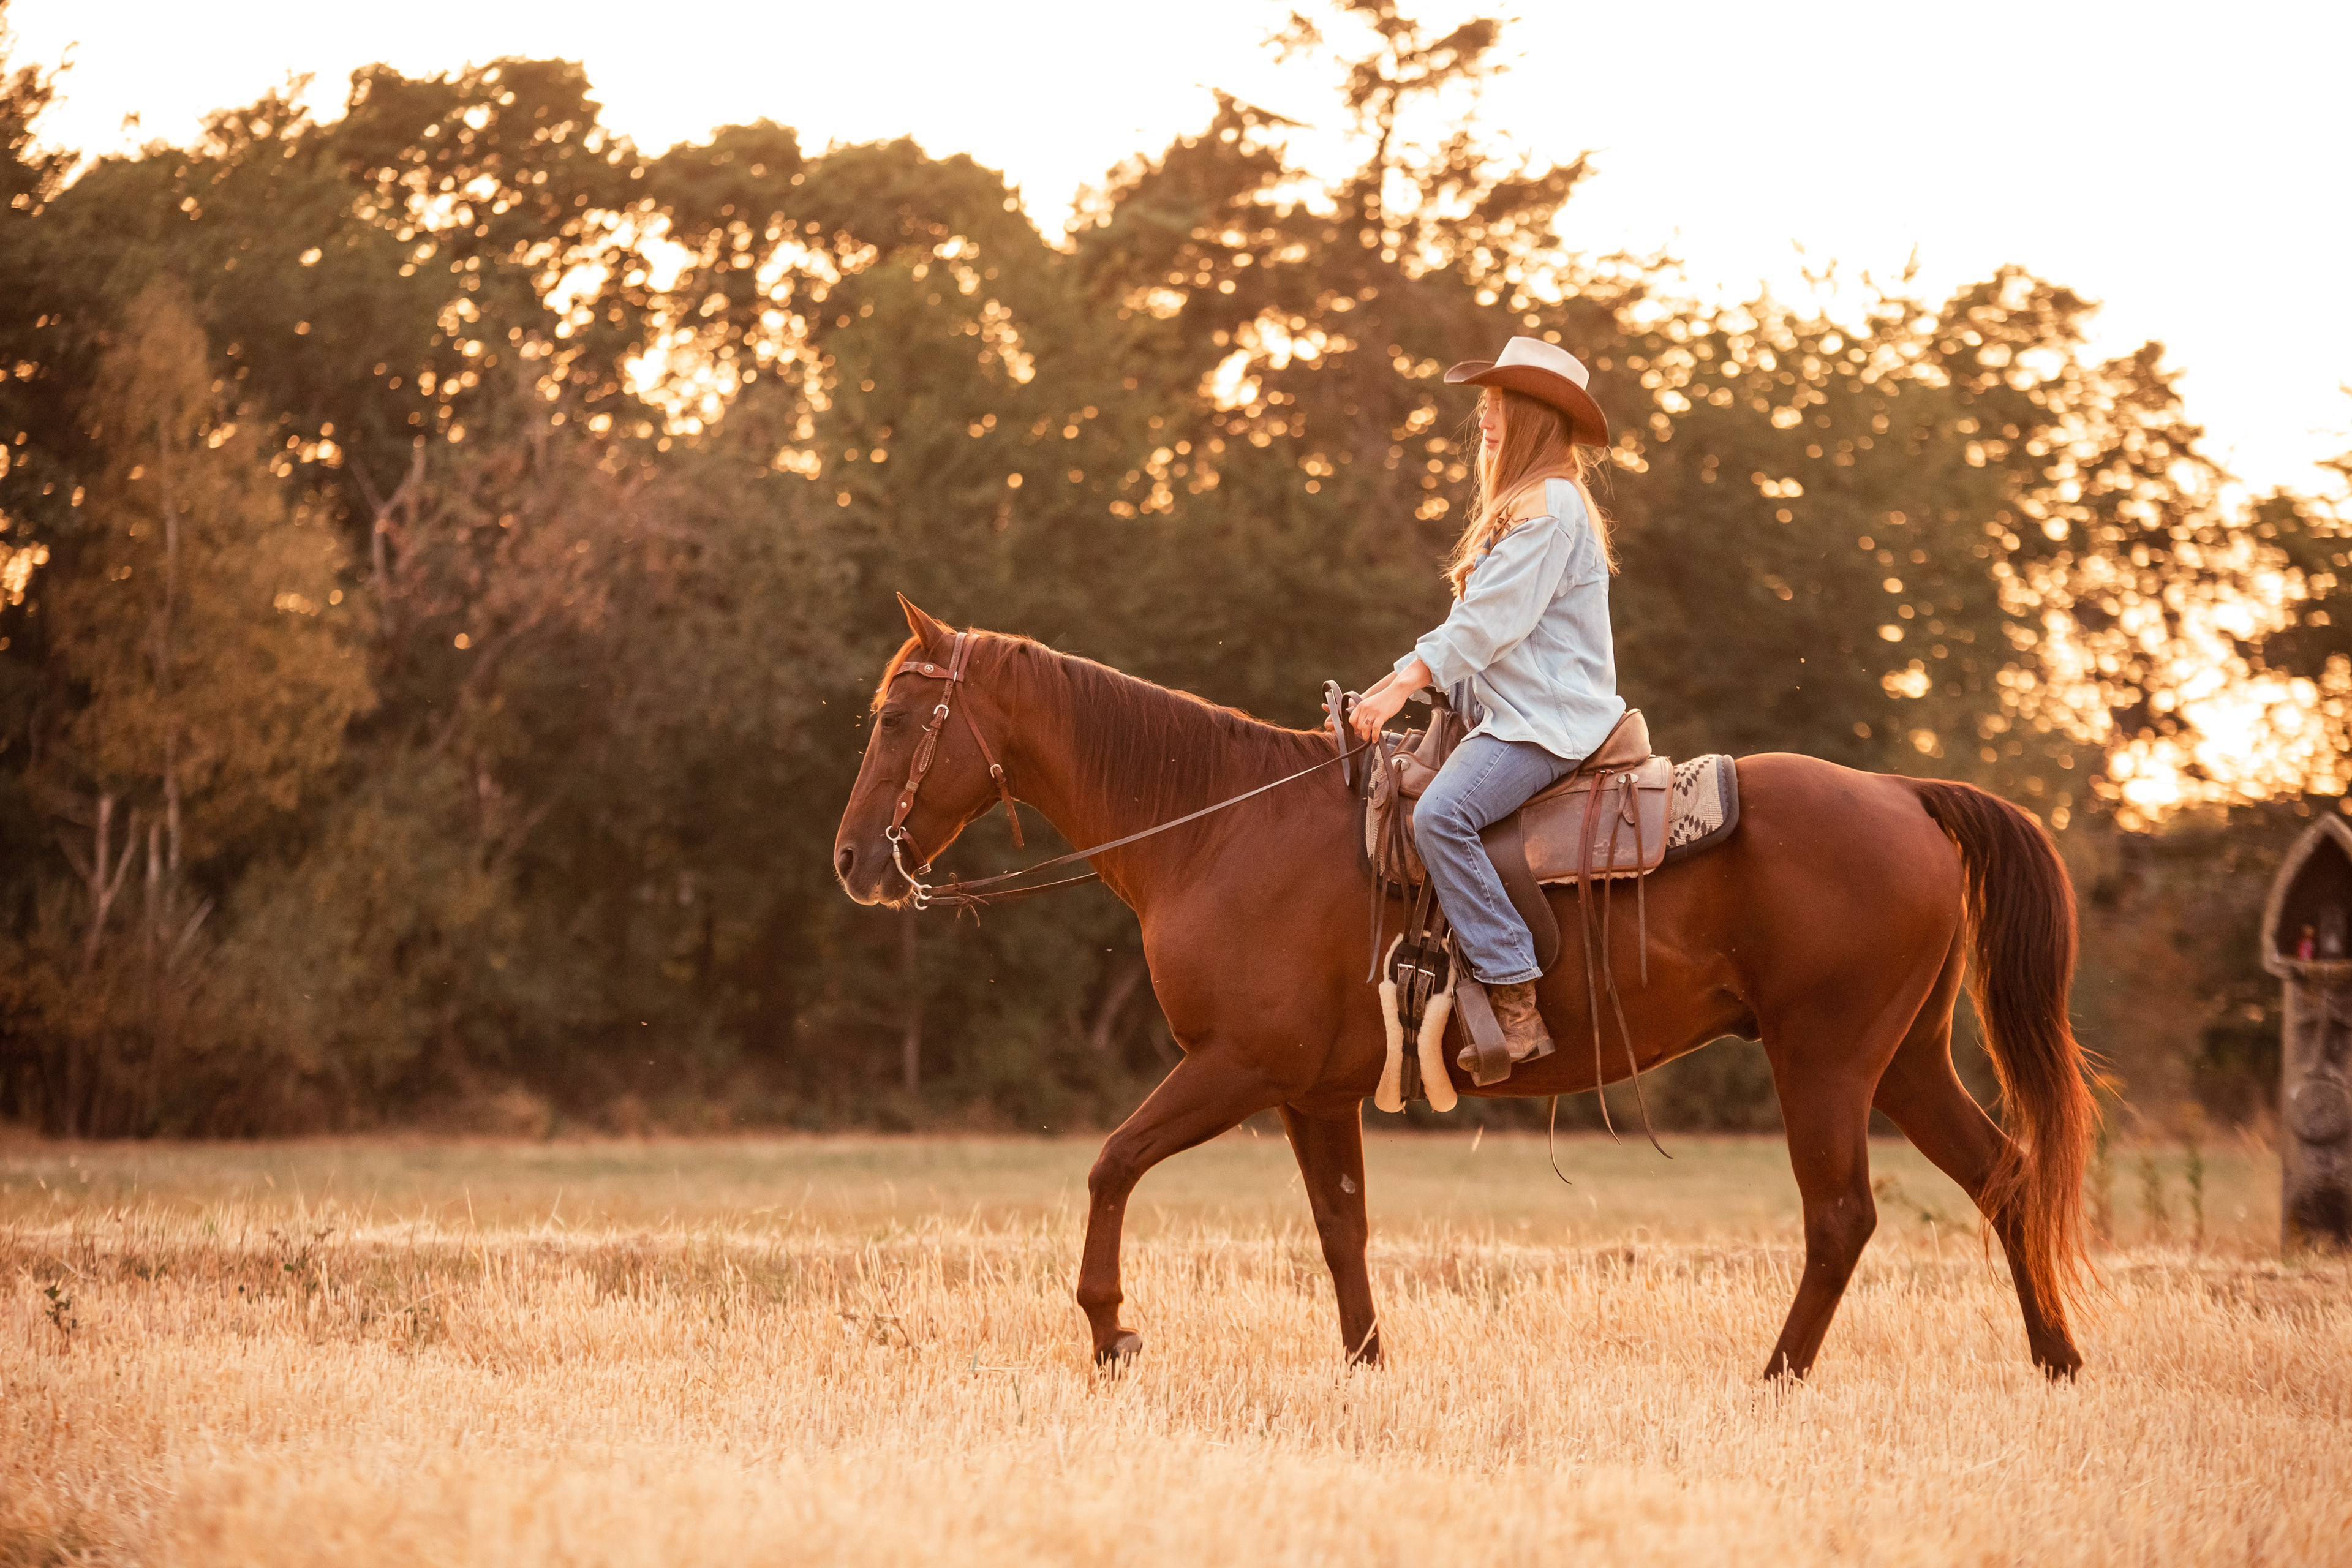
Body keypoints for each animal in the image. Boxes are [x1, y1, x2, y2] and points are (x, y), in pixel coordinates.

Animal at [831, 598, 2096, 1380]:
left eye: (894, 718)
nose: (851, 863)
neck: (1219, 831)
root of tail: (1905, 794)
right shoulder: (1313, 1095)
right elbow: (1342, 1226)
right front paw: (1366, 1364)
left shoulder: (1234, 1068)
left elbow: (1110, 1163)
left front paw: (1109, 1334)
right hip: (1907, 1060)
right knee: (2003, 1176)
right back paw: (2057, 1361)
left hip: (1825, 1061)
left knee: (1841, 1218)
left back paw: (1778, 1377)